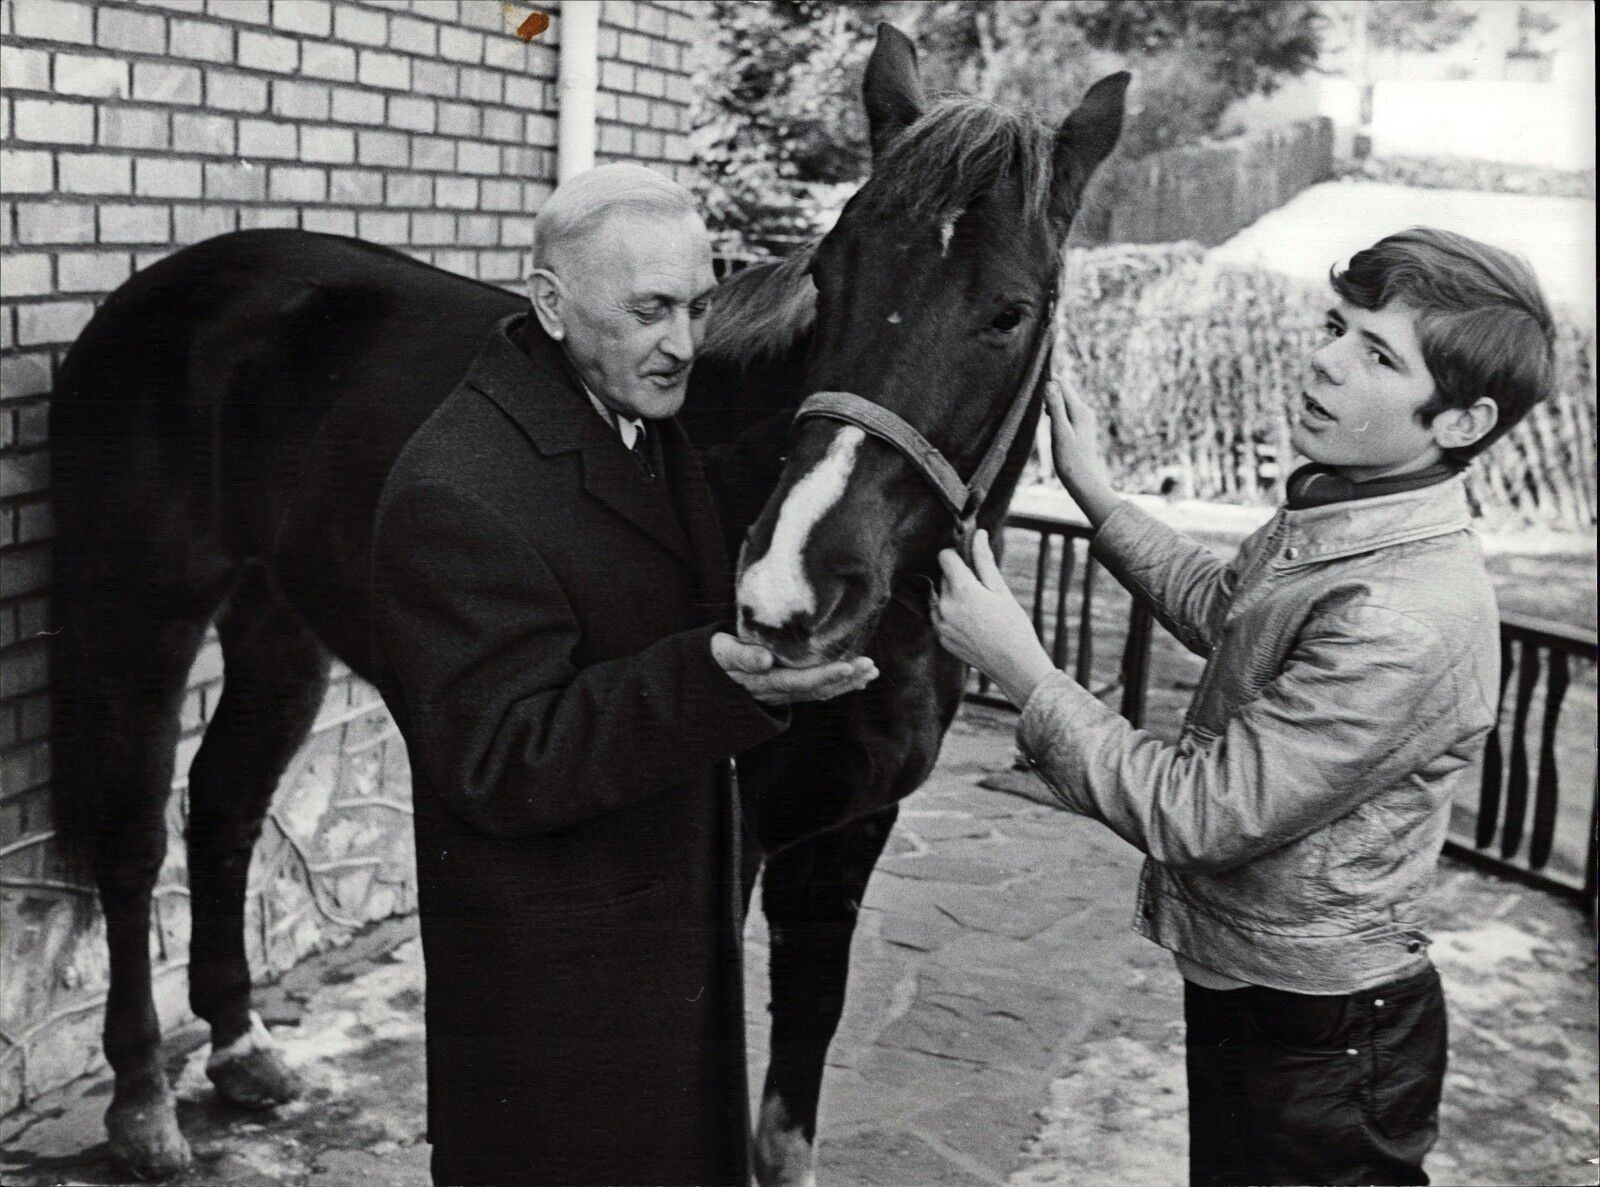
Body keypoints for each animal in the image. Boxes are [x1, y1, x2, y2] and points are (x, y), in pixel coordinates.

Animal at [50, 23, 1126, 1183]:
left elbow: (787, 1118)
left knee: (226, 801)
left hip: (277, 626)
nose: (787, 591)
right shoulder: (736, 853)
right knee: (133, 836)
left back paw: (243, 1047)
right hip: (146, 613)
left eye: (1009, 311)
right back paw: (144, 1100)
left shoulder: (843, 840)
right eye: (828, 281)